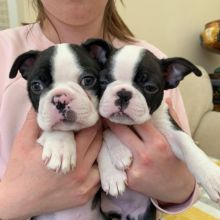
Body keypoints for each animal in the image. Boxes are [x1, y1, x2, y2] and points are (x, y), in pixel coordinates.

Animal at [84, 39, 220, 220]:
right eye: (103, 82)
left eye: (150, 87)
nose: (123, 93)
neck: (130, 125)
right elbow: (106, 135)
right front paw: (114, 172)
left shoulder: (170, 127)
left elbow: (188, 145)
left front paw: (212, 176)